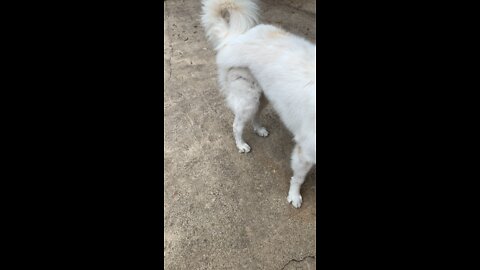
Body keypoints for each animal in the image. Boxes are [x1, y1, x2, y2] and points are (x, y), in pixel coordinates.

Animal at [202, 0, 316, 209]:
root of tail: (236, 38)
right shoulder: (306, 150)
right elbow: (298, 178)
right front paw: (294, 196)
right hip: (249, 99)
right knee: (237, 125)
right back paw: (241, 145)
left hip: (263, 96)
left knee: (256, 115)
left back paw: (259, 129)